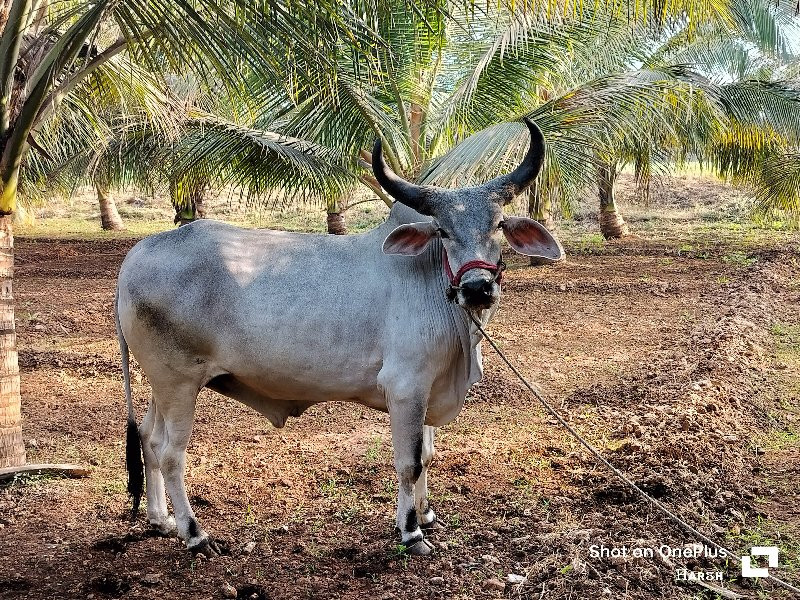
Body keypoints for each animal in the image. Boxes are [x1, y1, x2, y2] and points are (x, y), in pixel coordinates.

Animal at [117, 119, 564, 556]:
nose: (477, 288)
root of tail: (135, 256)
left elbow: (428, 452)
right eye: (443, 231)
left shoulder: (429, 387)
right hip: (177, 382)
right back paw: (195, 534)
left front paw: (426, 513)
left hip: (163, 383)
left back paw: (161, 520)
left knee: (149, 439)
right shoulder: (406, 387)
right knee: (171, 454)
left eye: (498, 225)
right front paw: (411, 530)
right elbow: (410, 462)